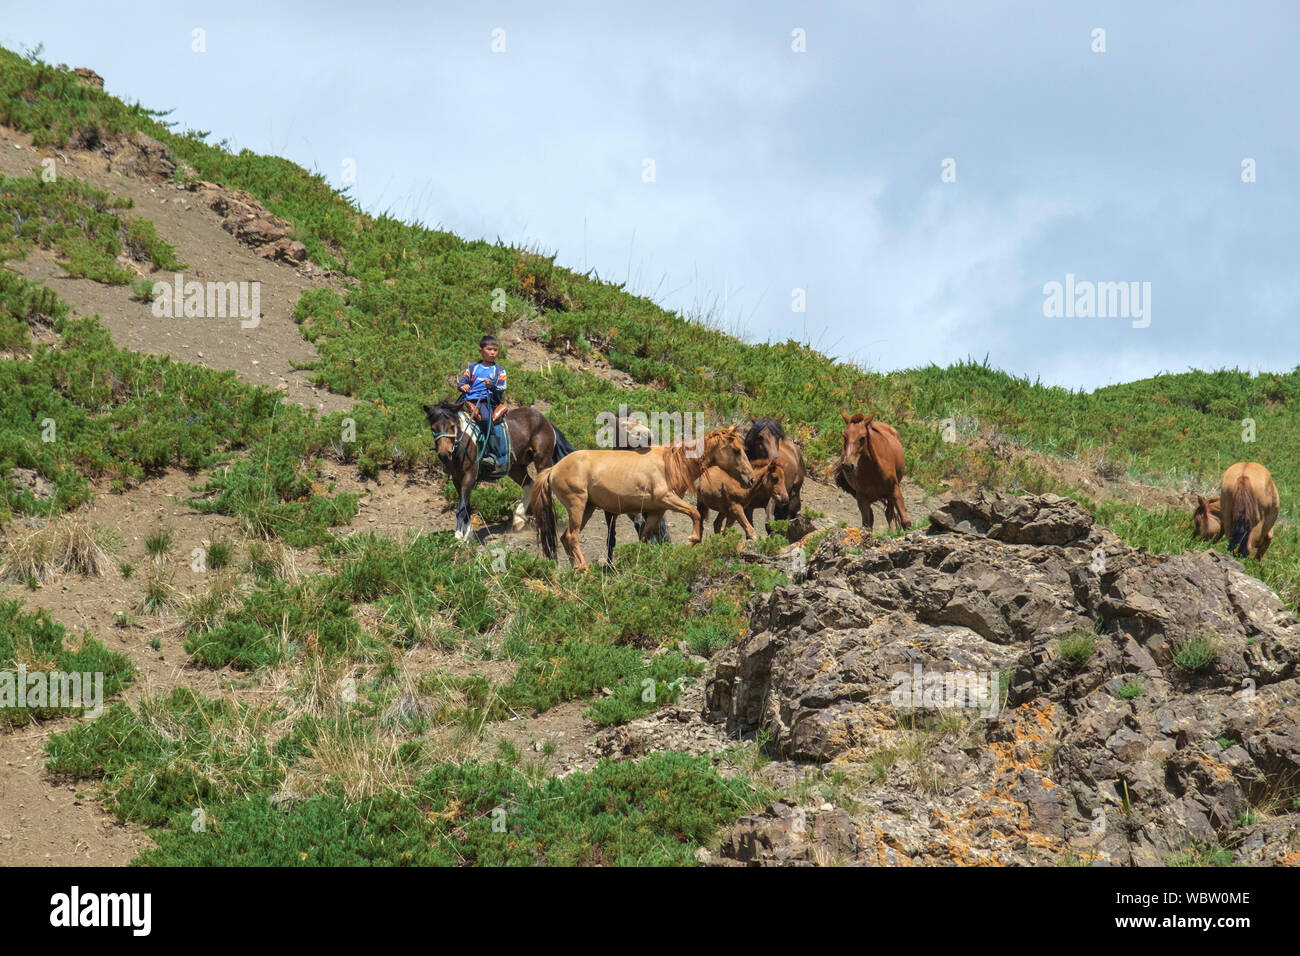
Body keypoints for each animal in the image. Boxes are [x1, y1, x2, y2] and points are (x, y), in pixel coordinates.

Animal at [424, 401, 574, 541]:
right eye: (433, 428)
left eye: (452, 426)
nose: (444, 454)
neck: (465, 444)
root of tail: (546, 421)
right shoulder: (457, 479)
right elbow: (466, 506)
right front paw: (468, 534)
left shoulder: (469, 477)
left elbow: (461, 508)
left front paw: (459, 536)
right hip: (516, 468)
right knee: (529, 485)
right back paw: (518, 519)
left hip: (543, 461)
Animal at [530, 426, 756, 571]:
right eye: (736, 450)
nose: (751, 479)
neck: (671, 465)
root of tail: (553, 469)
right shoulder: (667, 499)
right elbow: (695, 514)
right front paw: (691, 540)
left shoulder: (657, 510)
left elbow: (645, 538)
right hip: (577, 506)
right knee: (571, 536)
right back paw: (583, 568)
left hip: (588, 508)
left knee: (565, 538)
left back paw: (574, 569)